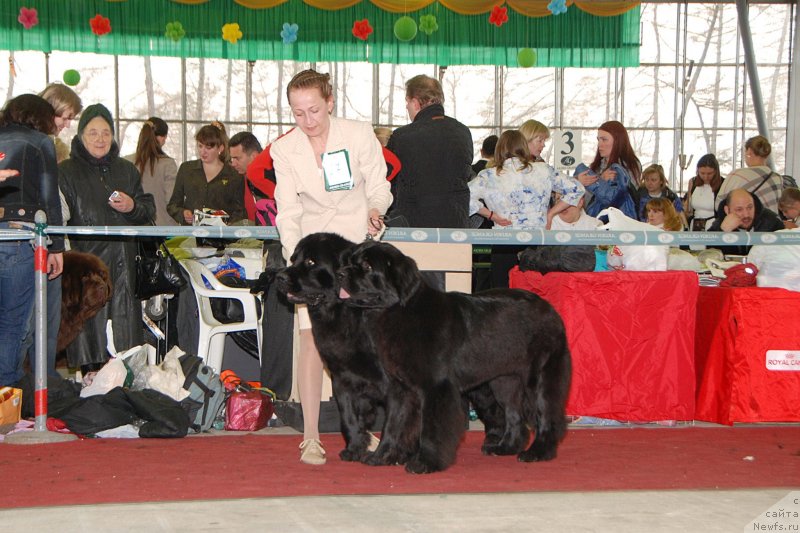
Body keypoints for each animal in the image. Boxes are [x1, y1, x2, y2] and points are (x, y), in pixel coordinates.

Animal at [340, 239, 572, 472]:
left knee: (547, 416)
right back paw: (505, 447)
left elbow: (431, 427)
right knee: (514, 414)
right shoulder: (400, 388)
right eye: (350, 260)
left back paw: (538, 452)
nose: (340, 273)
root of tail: (549, 309)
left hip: (540, 375)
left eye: (367, 266)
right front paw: (381, 456)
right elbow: (394, 424)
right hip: (504, 381)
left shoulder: (436, 386)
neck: (399, 311)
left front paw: (425, 462)